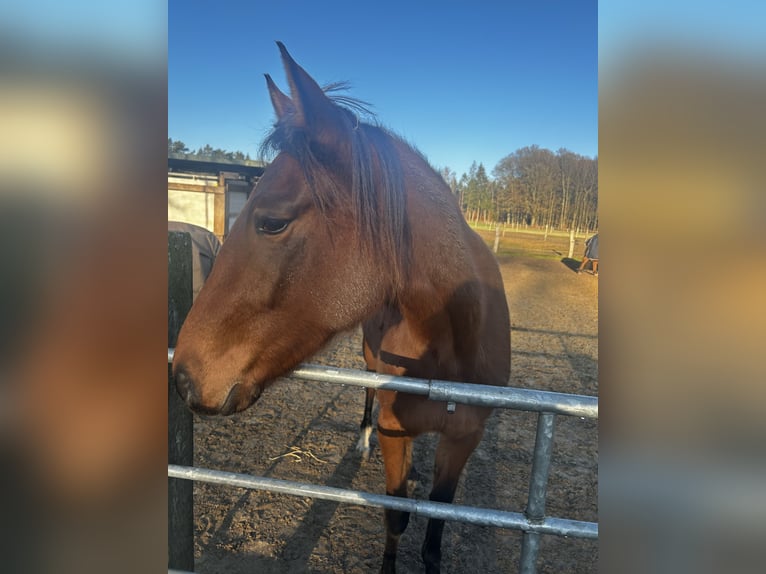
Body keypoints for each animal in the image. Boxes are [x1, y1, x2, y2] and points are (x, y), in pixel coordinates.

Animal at [172, 42, 511, 574]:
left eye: (272, 222)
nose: (183, 377)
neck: (454, 347)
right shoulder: (396, 430)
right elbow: (396, 517)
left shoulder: (464, 440)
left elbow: (435, 536)